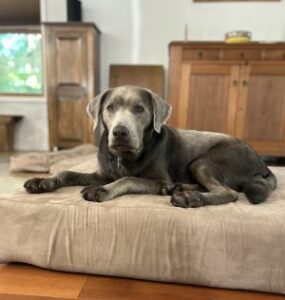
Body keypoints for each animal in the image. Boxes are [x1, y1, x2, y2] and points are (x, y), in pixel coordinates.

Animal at [23, 85, 276, 207]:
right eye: (110, 108)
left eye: (139, 109)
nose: (120, 132)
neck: (123, 156)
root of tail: (262, 164)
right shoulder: (102, 174)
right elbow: (67, 172)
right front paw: (43, 181)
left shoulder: (159, 178)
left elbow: (127, 178)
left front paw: (101, 191)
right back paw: (179, 190)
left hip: (204, 162)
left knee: (228, 192)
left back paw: (189, 197)